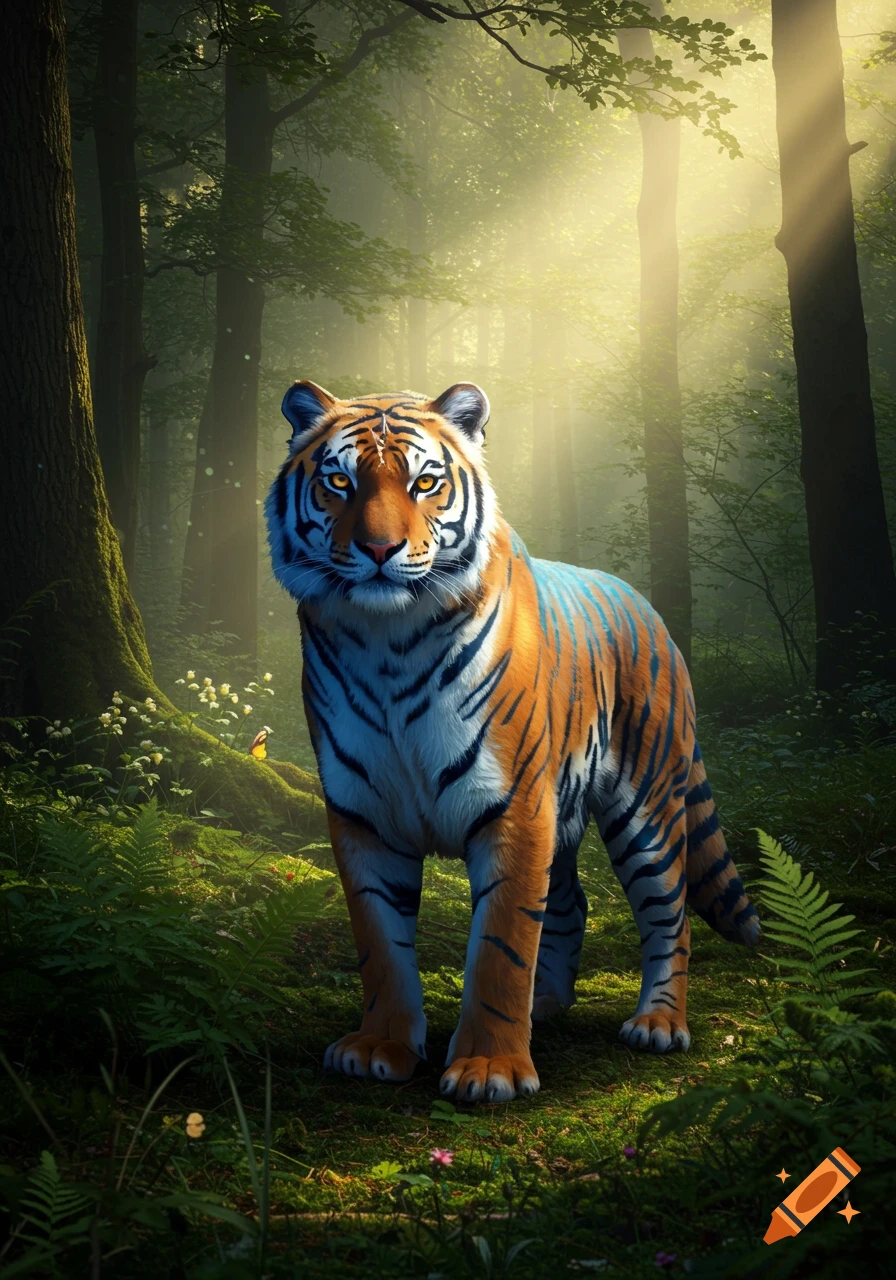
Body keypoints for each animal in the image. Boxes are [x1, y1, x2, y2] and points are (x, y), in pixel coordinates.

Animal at [265, 379, 760, 1103]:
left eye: (424, 482)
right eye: (338, 481)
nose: (380, 551)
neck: (387, 645)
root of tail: (652, 612)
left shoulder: (514, 806)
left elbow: (502, 944)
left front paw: (489, 1068)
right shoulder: (362, 815)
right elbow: (381, 942)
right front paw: (380, 1048)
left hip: (649, 805)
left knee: (670, 914)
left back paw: (659, 1024)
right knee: (572, 903)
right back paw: (546, 1006)